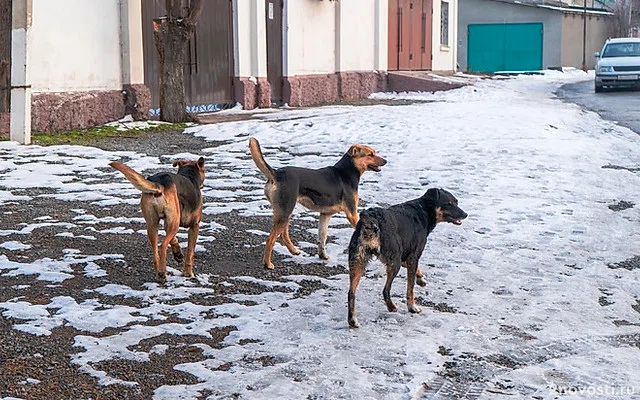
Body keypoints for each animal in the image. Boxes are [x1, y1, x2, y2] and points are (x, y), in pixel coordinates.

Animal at [250, 137, 388, 268]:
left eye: (374, 152)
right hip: (285, 210)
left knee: (283, 234)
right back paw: (268, 264)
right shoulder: (352, 213)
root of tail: (276, 173)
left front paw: (322, 256)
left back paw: (294, 251)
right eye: (370, 155)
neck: (346, 172)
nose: (386, 161)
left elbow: (322, 238)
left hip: (284, 210)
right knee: (270, 239)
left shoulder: (325, 214)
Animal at [348, 188, 468, 328]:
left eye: (456, 202)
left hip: (357, 261)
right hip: (393, 262)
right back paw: (392, 307)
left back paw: (353, 320)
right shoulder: (413, 256)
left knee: (351, 293)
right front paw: (413, 307)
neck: (424, 210)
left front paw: (421, 278)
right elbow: (410, 288)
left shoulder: (406, 255)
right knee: (385, 290)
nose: (465, 214)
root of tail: (371, 218)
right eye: (449, 203)